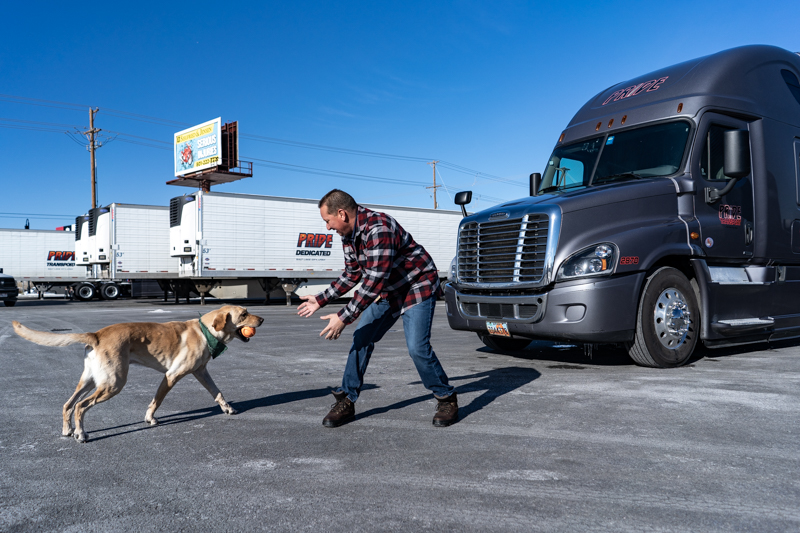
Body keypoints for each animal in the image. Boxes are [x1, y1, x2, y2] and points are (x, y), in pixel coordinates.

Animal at [11, 304, 262, 440]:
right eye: (243, 314)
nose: (261, 319)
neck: (204, 331)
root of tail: (96, 334)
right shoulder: (171, 376)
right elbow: (156, 401)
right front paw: (150, 419)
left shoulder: (201, 372)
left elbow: (217, 392)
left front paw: (227, 408)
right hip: (113, 383)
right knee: (81, 406)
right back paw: (81, 434)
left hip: (91, 381)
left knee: (68, 404)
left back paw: (67, 430)